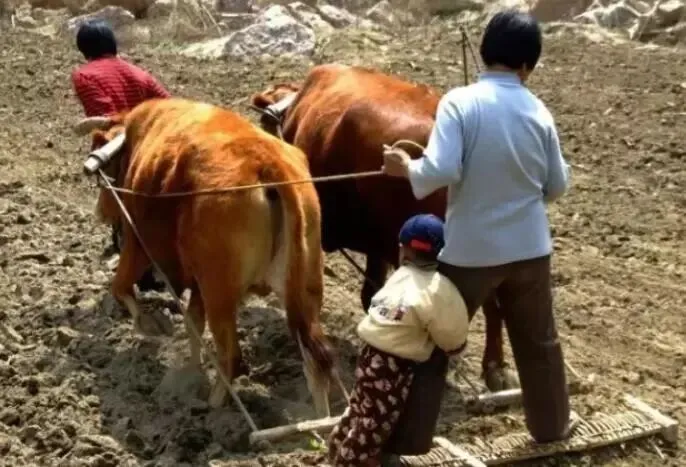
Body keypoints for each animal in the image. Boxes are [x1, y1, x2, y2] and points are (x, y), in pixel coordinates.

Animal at [74, 97, 335, 415]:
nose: (99, 212)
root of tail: (266, 162)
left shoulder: (137, 245)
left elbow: (121, 288)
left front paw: (150, 325)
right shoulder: (197, 283)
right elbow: (192, 324)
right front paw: (193, 370)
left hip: (219, 295)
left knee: (232, 357)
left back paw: (212, 407)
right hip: (303, 291)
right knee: (316, 361)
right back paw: (321, 421)